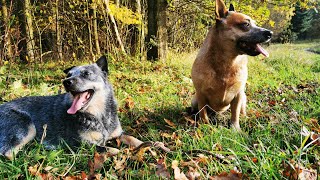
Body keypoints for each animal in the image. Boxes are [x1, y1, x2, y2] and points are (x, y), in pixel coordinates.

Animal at [190, 0, 272, 129]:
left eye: (255, 23)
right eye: (246, 24)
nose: (270, 33)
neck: (228, 62)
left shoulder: (238, 95)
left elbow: (235, 114)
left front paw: (235, 128)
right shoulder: (201, 95)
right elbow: (203, 113)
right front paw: (205, 126)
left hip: (243, 97)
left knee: (241, 110)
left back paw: (244, 117)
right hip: (194, 100)